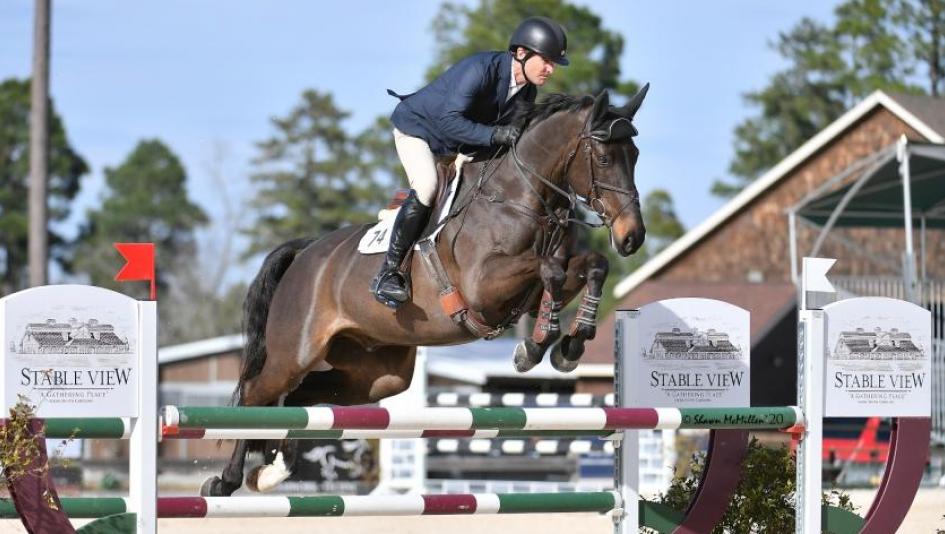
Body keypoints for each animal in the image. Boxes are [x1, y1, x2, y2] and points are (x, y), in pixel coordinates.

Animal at [202, 86, 649, 496]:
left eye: (636, 156)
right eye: (605, 158)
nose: (632, 237)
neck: (517, 196)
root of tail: (305, 253)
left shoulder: (535, 288)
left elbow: (592, 266)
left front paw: (569, 344)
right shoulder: (484, 287)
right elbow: (550, 270)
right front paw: (536, 345)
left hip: (378, 374)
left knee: (303, 395)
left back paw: (271, 472)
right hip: (293, 354)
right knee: (256, 393)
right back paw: (226, 481)